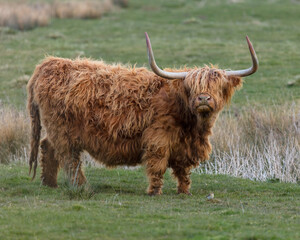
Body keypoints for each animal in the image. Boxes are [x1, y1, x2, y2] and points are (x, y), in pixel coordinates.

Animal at [28, 33, 258, 195]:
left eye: (217, 86)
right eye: (191, 87)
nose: (203, 99)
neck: (193, 126)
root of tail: (48, 64)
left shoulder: (185, 146)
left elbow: (183, 170)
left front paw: (184, 191)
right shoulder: (159, 137)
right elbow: (157, 165)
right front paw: (154, 191)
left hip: (56, 129)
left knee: (48, 146)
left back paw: (50, 184)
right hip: (62, 129)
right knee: (69, 157)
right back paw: (81, 186)